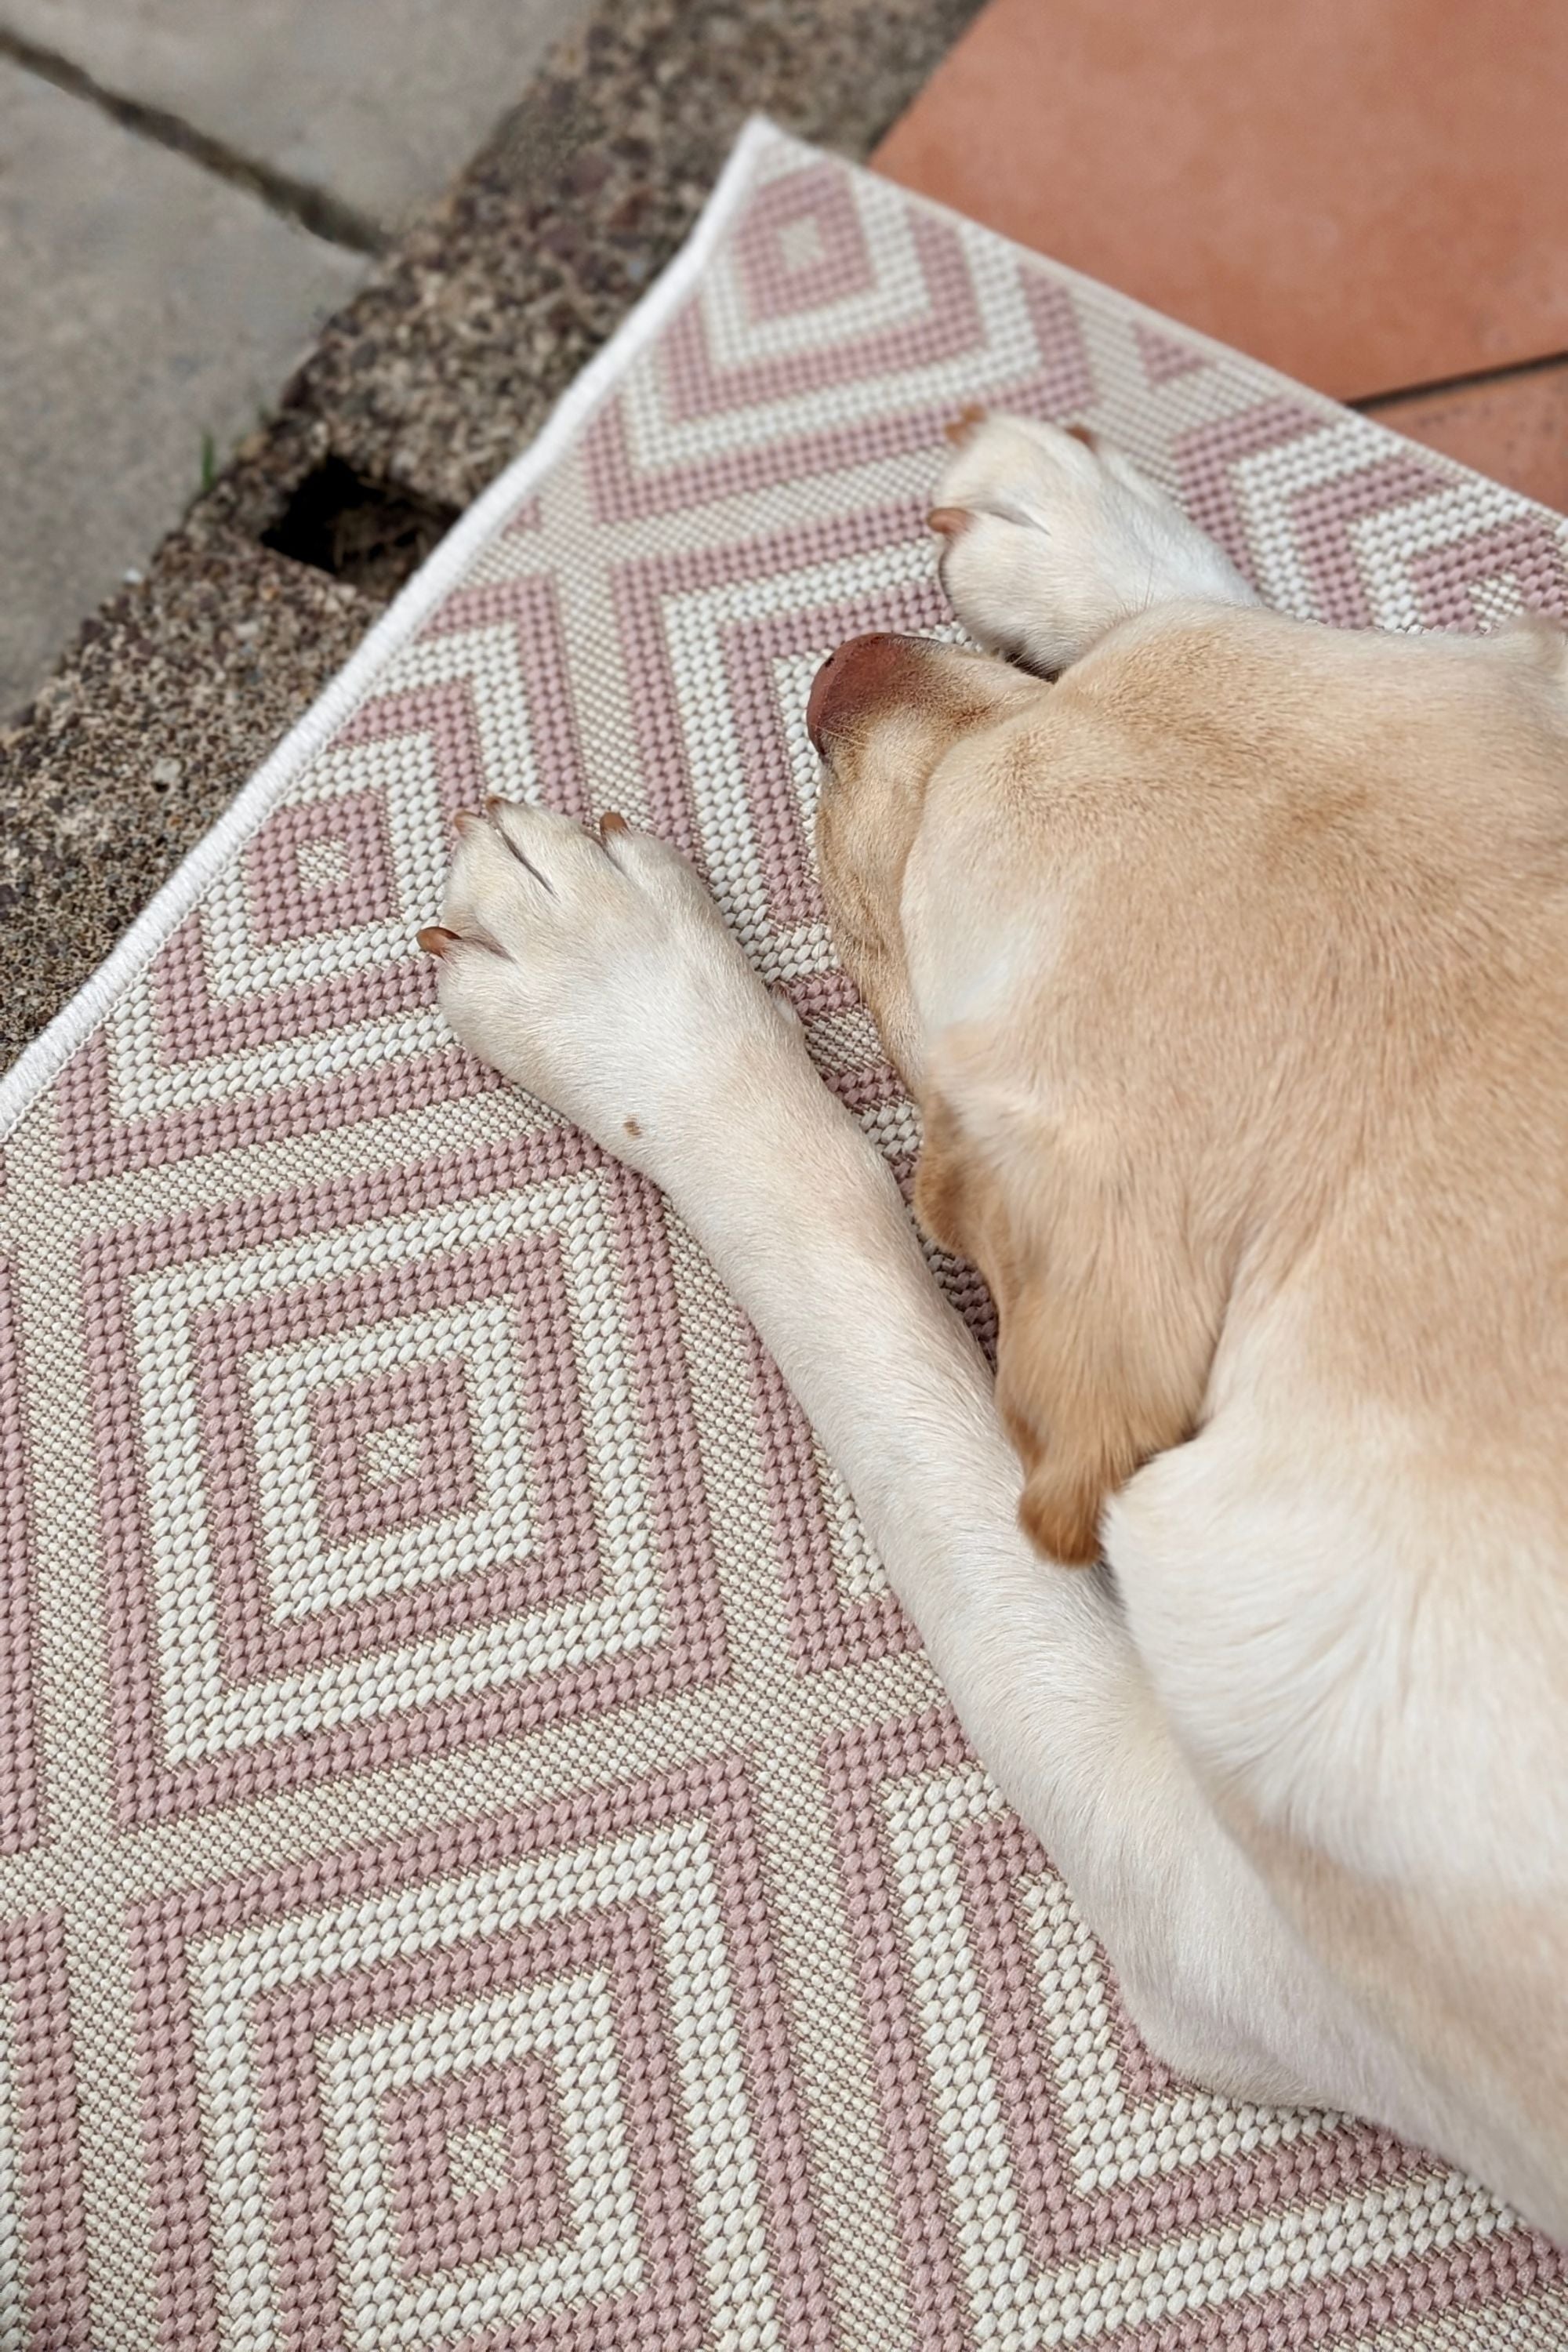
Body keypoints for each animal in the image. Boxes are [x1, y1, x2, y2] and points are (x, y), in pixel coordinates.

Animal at [423, 419, 1561, 2239]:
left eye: (918, 882)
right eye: (1062, 693)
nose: (840, 672)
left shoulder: (1220, 1920)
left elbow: (875, 1302)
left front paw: (624, 994)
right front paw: (1094, 540)